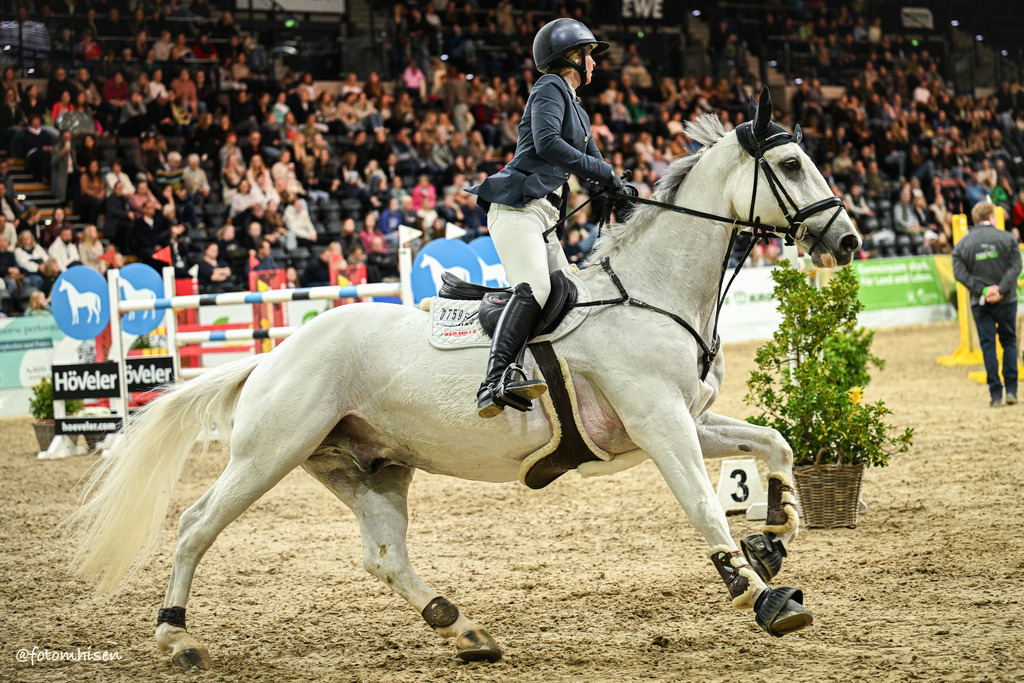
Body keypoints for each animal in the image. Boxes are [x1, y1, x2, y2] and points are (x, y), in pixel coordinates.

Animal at [65, 91, 861, 670]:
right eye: (792, 164)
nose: (849, 240)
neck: (650, 291)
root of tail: (277, 352)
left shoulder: (685, 419)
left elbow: (775, 442)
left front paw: (776, 532)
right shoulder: (659, 423)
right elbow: (701, 505)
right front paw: (764, 597)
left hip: (369, 466)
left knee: (384, 555)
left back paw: (461, 626)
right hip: (269, 453)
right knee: (198, 525)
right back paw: (177, 636)